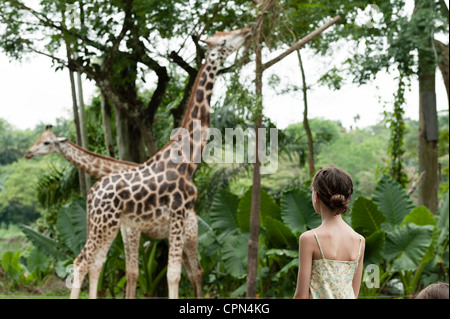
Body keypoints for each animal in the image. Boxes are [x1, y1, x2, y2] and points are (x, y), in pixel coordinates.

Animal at [71, 28, 253, 300]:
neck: (187, 160)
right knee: (82, 261)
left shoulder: (171, 221)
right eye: (223, 41)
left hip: (107, 224)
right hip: (105, 223)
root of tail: (92, 194)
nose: (247, 31)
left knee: (95, 262)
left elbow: (171, 273)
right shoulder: (178, 213)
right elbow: (173, 274)